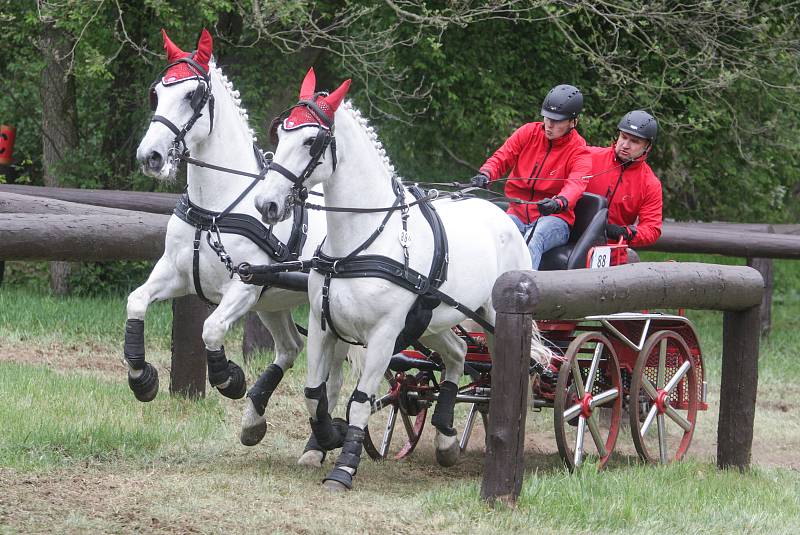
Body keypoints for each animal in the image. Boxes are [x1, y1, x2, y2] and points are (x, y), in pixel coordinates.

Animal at [127, 29, 346, 456]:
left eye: (193, 95)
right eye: (156, 93)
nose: (151, 156)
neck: (216, 208)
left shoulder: (243, 287)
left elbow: (211, 328)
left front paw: (229, 378)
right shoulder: (175, 274)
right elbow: (136, 302)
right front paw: (142, 378)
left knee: (336, 374)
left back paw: (317, 441)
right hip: (273, 302)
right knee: (290, 348)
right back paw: (254, 420)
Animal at [255, 70, 532, 490]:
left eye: (310, 141)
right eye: (281, 133)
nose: (266, 203)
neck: (357, 245)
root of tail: (504, 215)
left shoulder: (383, 335)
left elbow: (359, 401)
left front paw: (344, 466)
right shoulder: (323, 325)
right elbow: (314, 393)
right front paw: (326, 438)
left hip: (495, 321)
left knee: (500, 376)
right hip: (433, 322)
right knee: (457, 354)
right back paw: (446, 438)